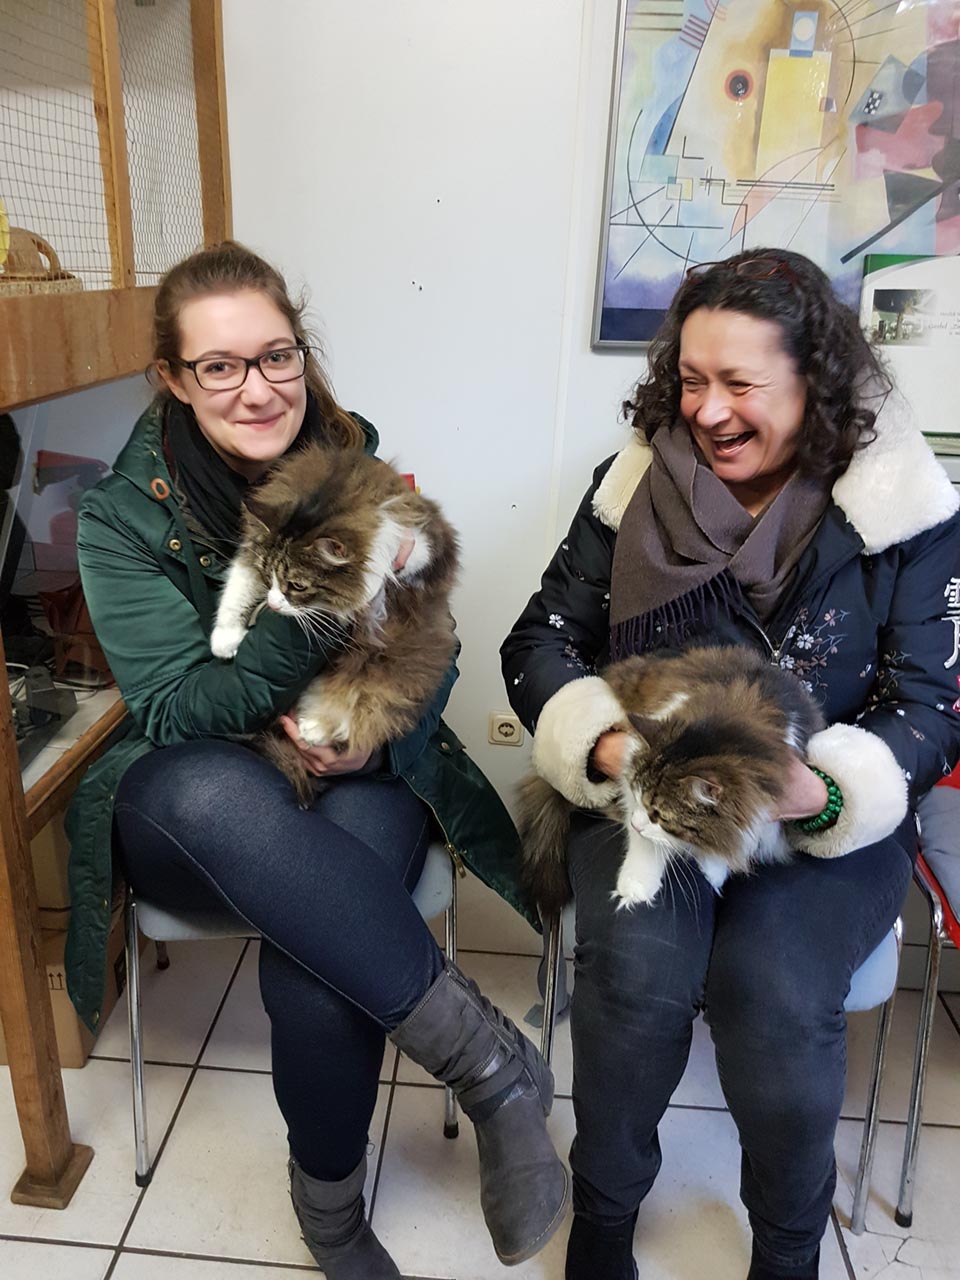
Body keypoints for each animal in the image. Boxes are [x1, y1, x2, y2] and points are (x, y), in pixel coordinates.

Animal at [211, 442, 459, 805]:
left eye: (297, 586)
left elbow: (402, 547)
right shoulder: (251, 557)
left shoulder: (429, 537)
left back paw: (314, 727)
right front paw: (226, 639)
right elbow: (237, 588)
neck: (331, 498)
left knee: (360, 708)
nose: (273, 604)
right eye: (269, 576)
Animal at [518, 645, 825, 914]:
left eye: (660, 815)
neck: (738, 732)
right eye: (640, 797)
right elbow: (647, 845)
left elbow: (734, 841)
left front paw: (712, 870)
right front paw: (635, 887)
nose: (635, 823)